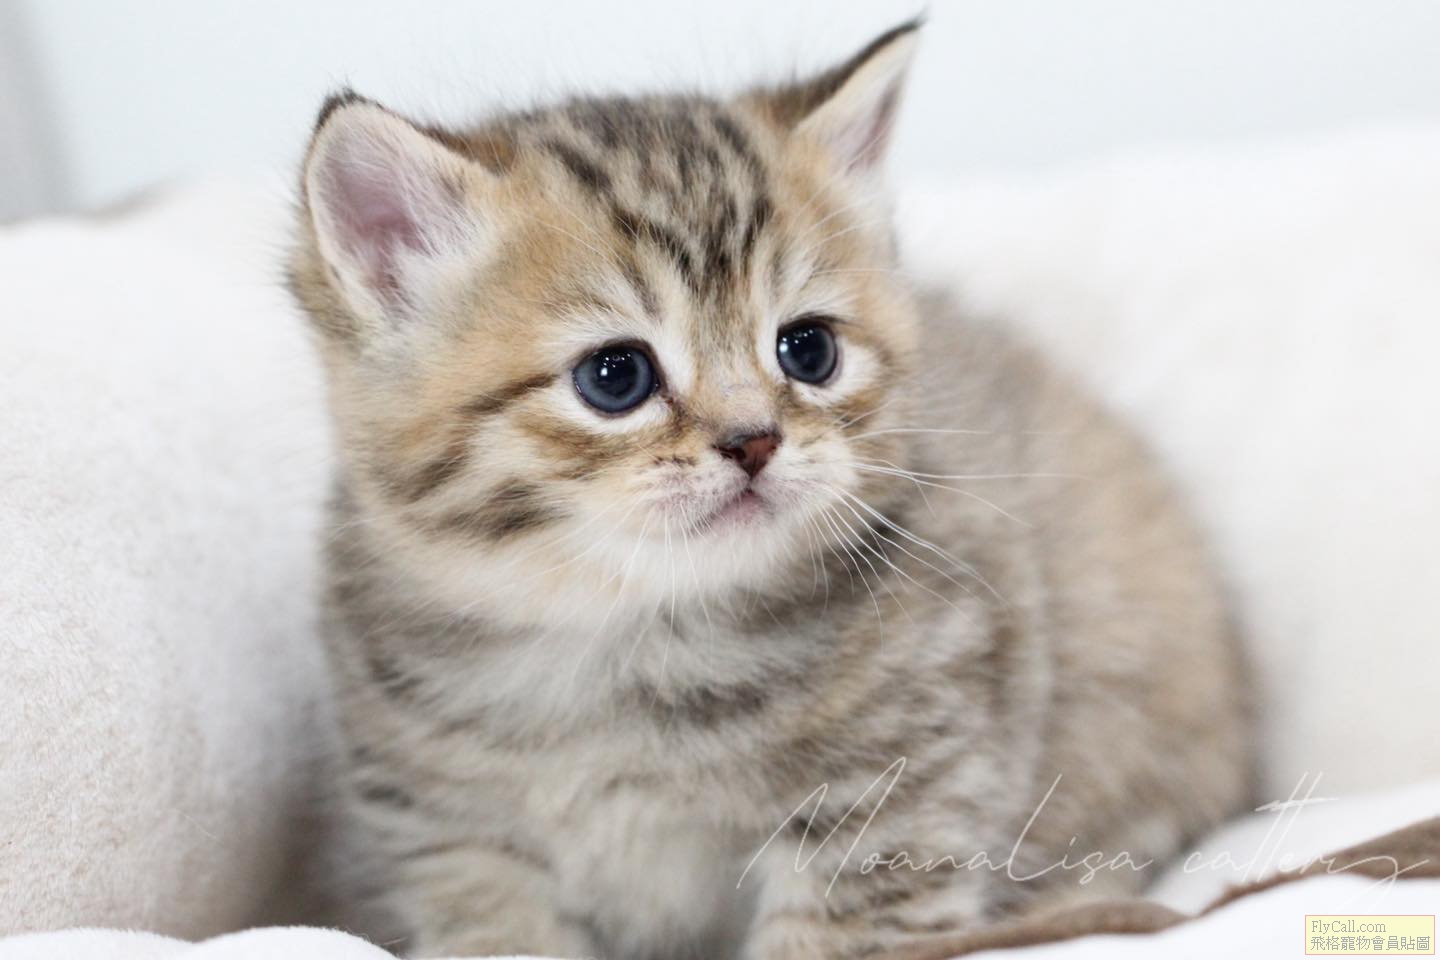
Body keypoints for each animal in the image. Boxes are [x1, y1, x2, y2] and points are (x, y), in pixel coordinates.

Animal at [288, 20, 1252, 960]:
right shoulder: (455, 840)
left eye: (809, 350)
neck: (629, 641)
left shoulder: (899, 798)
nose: (753, 440)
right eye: (614, 376)